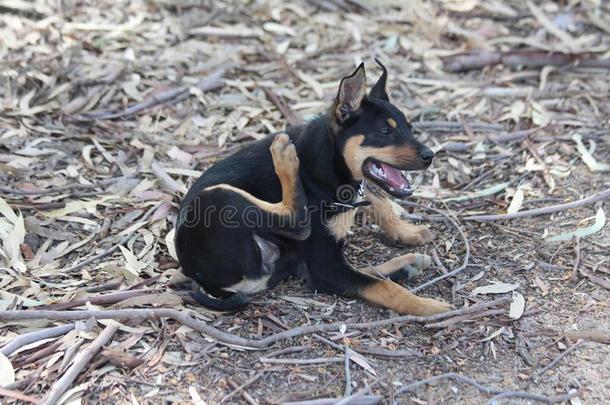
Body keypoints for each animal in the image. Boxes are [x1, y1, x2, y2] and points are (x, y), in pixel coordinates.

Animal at [173, 60, 448, 314]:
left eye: (409, 128)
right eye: (384, 131)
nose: (430, 155)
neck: (327, 161)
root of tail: (202, 279)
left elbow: (377, 198)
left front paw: (408, 232)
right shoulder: (325, 264)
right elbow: (385, 288)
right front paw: (429, 307)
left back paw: (409, 263)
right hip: (220, 197)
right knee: (298, 222)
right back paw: (284, 159)